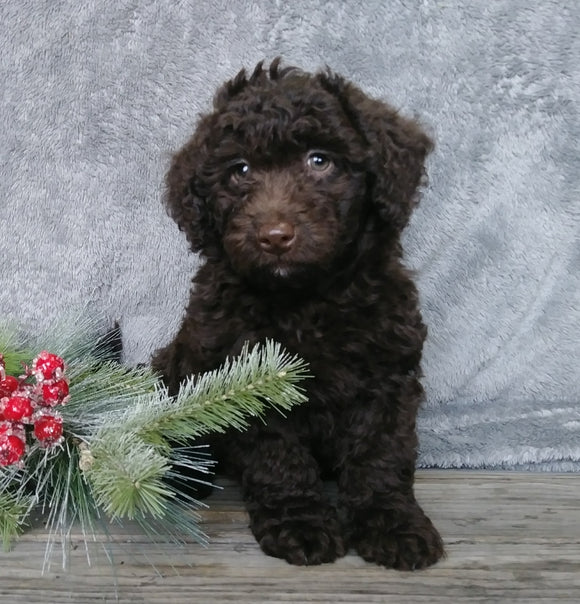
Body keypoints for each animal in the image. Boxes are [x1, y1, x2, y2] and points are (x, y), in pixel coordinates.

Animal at [153, 59, 444, 568]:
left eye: (319, 160)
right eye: (240, 170)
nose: (274, 236)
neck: (306, 297)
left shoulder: (387, 375)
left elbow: (381, 453)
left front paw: (393, 523)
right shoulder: (250, 377)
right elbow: (278, 457)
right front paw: (300, 522)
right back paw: (185, 476)